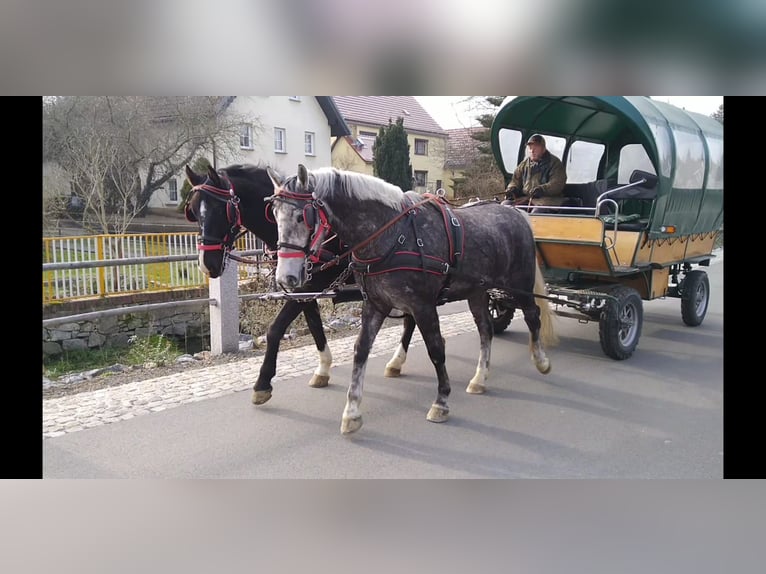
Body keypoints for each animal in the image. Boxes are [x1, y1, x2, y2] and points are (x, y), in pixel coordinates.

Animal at [182, 162, 420, 404]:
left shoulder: (308, 290)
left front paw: (262, 384)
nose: (207, 263)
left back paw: (397, 361)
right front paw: (323, 369)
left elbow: (275, 329)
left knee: (410, 320)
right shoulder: (303, 291)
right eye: (193, 211)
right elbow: (315, 327)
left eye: (222, 210)